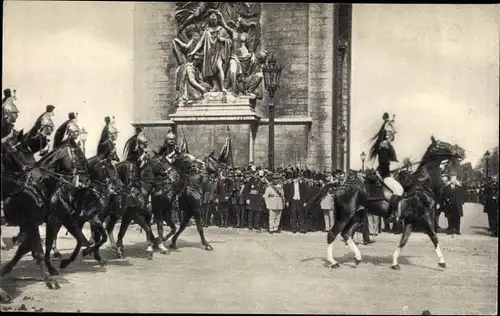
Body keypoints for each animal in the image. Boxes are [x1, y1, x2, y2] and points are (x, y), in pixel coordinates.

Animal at [316, 136, 464, 270]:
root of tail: (341, 186)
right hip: (345, 215)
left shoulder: (410, 220)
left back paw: (357, 258)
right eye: (444, 145)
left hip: (357, 216)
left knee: (346, 234)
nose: (461, 152)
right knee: (332, 234)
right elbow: (434, 237)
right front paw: (442, 262)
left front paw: (395, 262)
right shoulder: (425, 216)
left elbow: (403, 241)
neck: (422, 183)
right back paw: (333, 262)